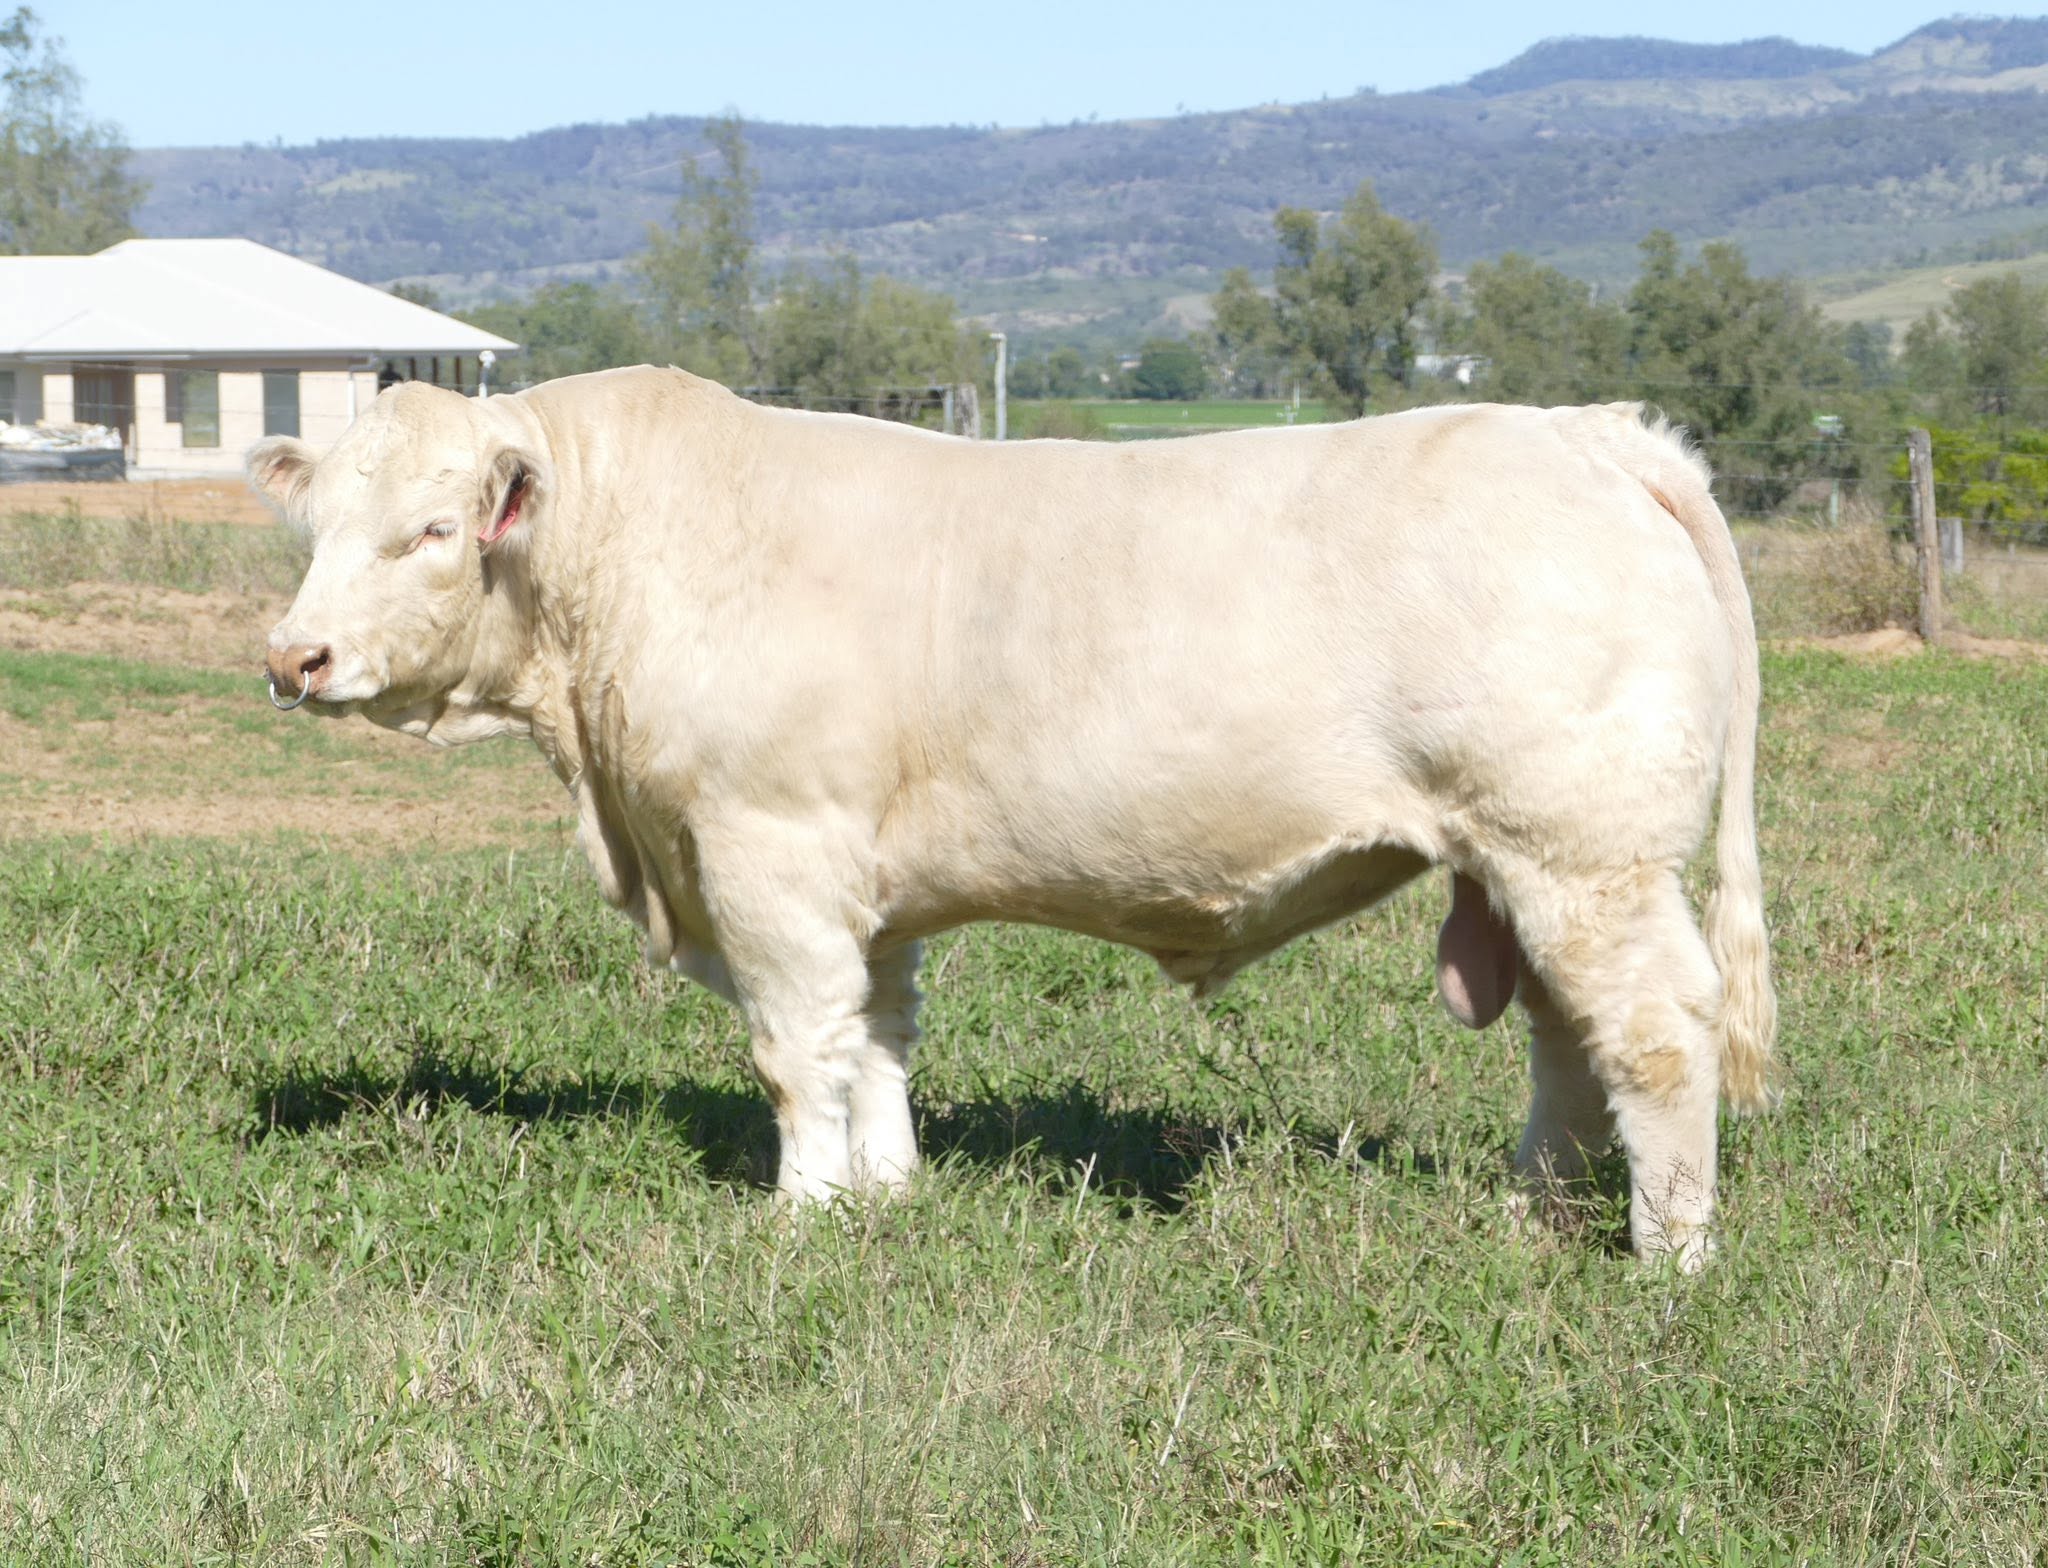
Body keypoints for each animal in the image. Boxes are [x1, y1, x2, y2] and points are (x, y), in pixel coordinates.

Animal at [252, 367, 1775, 1267]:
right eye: (314, 528)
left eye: (434, 532)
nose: (294, 658)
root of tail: (1590, 433)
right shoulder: (863, 883)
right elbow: (875, 1039)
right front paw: (885, 1193)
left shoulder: (765, 850)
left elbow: (795, 1049)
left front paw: (803, 1215)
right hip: (1530, 868)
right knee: (1568, 1042)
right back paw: (1537, 1219)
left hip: (1584, 852)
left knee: (1655, 1032)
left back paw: (1666, 1255)